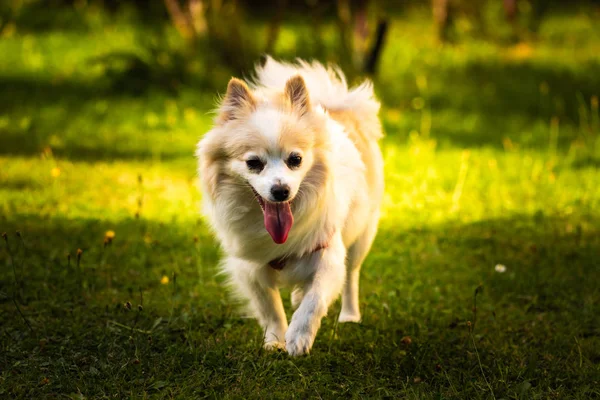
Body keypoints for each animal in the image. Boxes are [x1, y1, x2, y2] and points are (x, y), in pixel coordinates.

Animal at [197, 56, 384, 356]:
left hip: (361, 236)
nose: (281, 190)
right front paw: (275, 339)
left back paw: (350, 315)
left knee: (351, 275)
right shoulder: (250, 268)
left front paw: (298, 336)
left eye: (295, 159)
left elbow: (315, 299)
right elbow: (269, 307)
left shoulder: (328, 254)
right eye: (253, 163)